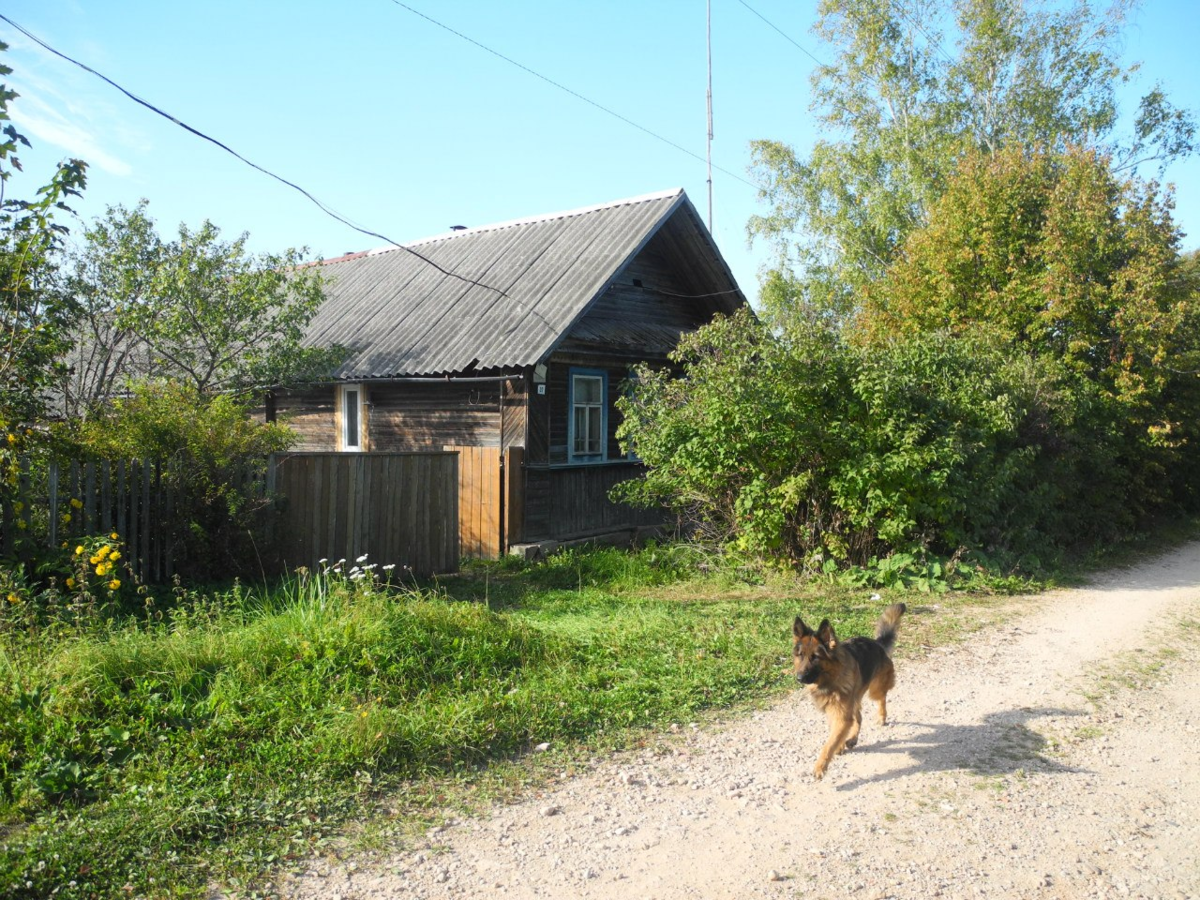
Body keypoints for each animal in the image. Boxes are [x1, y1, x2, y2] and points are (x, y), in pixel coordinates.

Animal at [792, 607, 902, 782]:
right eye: (800, 655)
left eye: (815, 657)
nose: (799, 678)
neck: (831, 679)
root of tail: (877, 643)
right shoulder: (836, 712)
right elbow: (836, 736)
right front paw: (840, 745)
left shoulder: (842, 715)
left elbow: (828, 745)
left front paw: (820, 767)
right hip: (854, 699)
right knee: (859, 717)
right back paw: (852, 739)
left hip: (874, 690)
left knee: (882, 699)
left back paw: (881, 717)